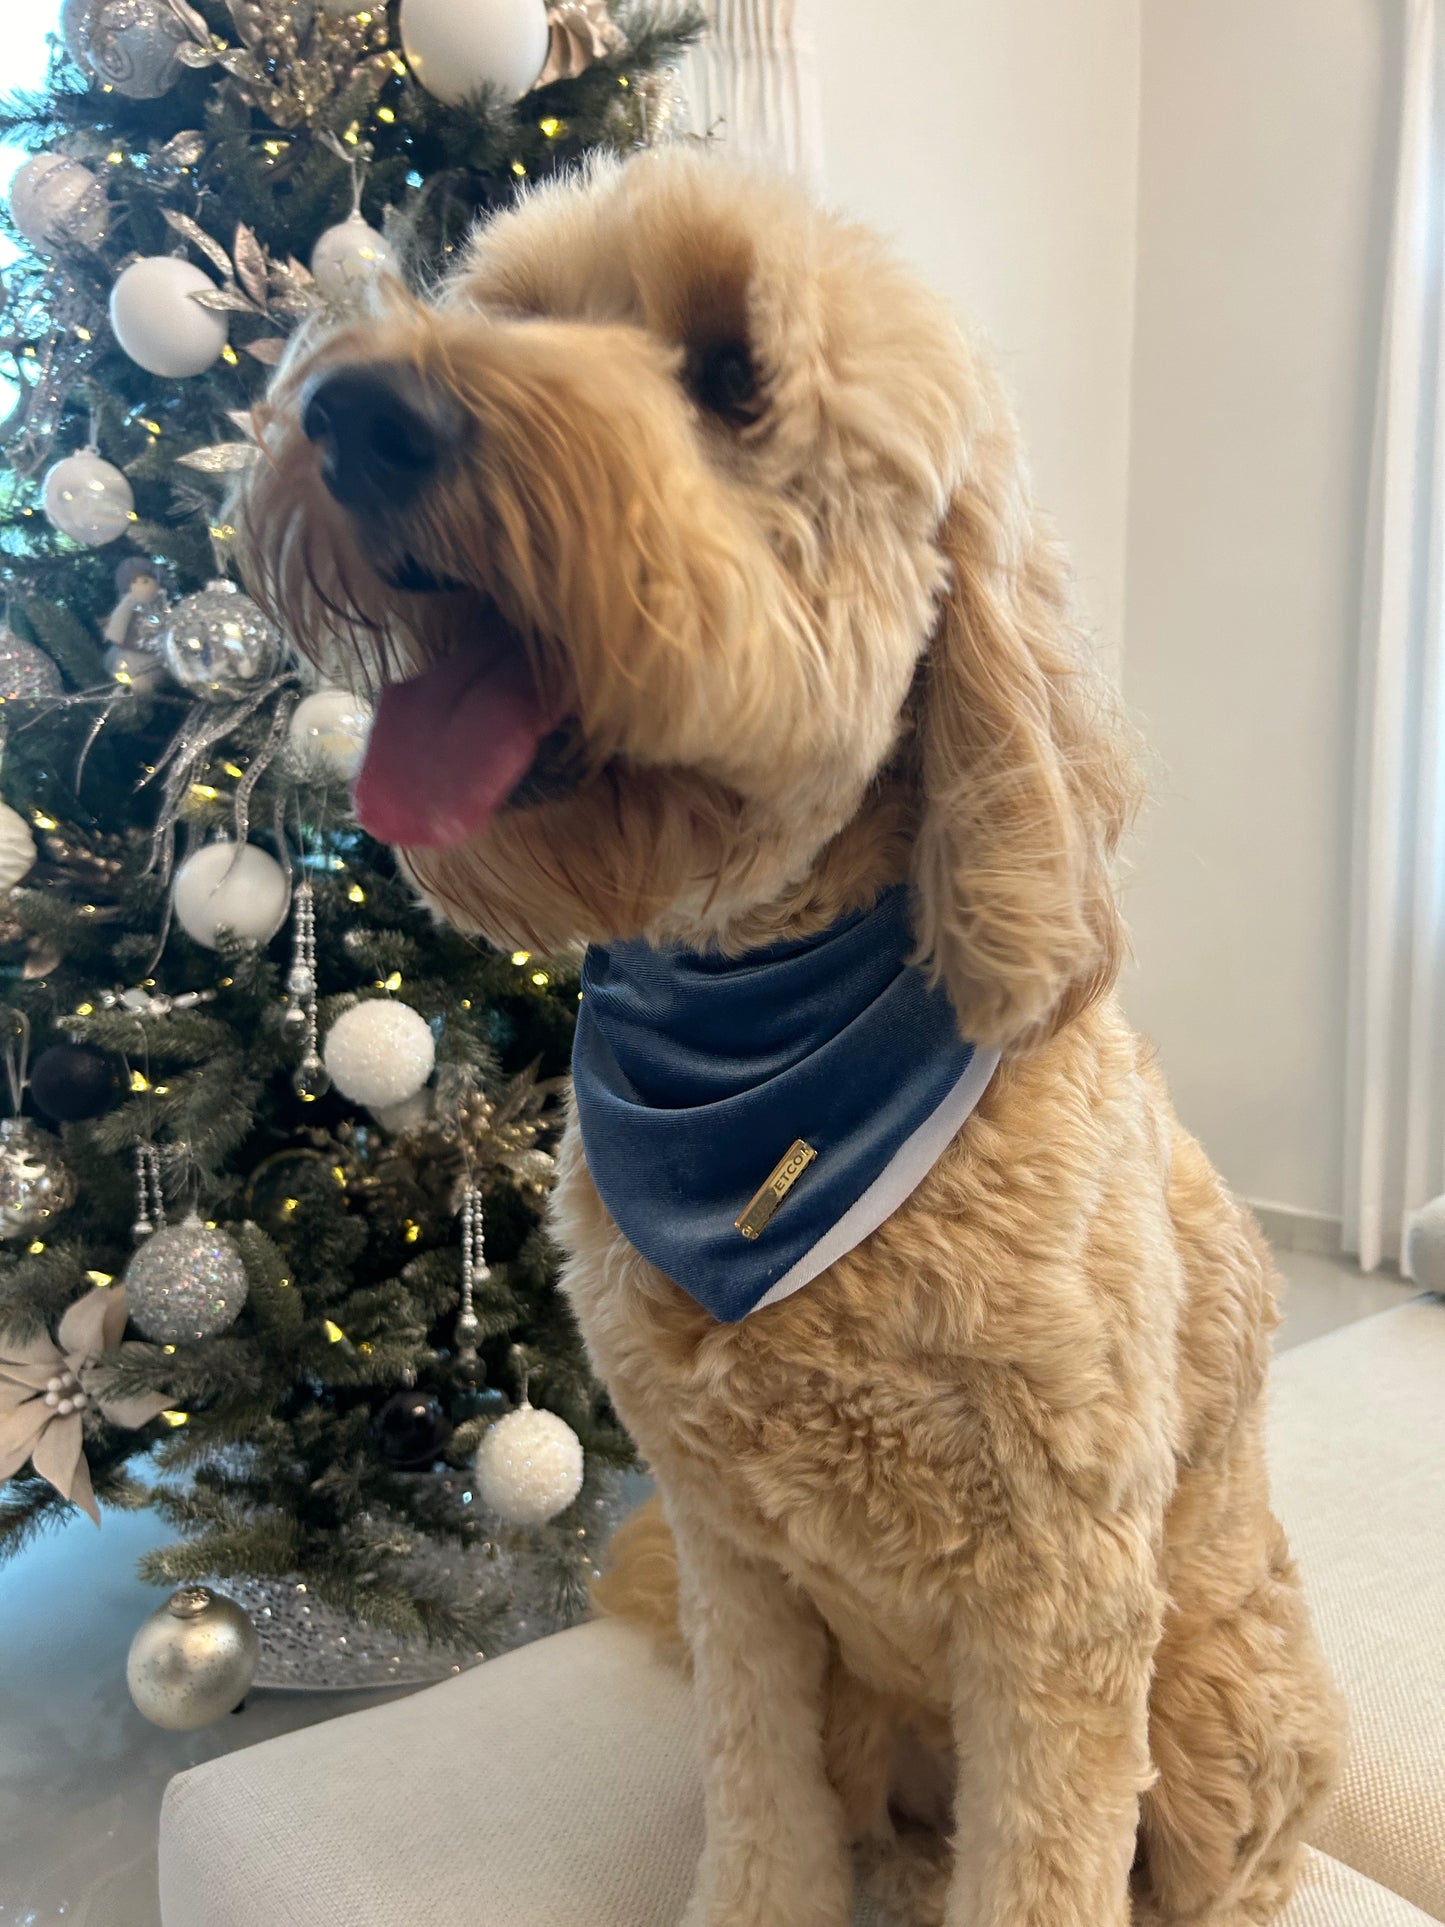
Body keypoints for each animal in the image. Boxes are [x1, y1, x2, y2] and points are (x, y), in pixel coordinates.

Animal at [240, 142, 1348, 1919]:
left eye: (730, 372)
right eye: (511, 308)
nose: (354, 410)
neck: (761, 1056)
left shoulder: (1061, 1605)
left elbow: (1048, 1864)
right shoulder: (737, 1565)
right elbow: (763, 1818)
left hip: (1217, 1689)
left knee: (1230, 1862)